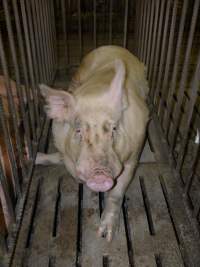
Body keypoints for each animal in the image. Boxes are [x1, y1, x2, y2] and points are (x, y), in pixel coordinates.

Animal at [36, 45, 149, 242]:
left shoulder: (134, 154)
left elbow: (117, 192)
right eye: (78, 131)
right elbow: (64, 162)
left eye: (113, 129)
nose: (100, 174)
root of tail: (113, 46)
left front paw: (106, 236)